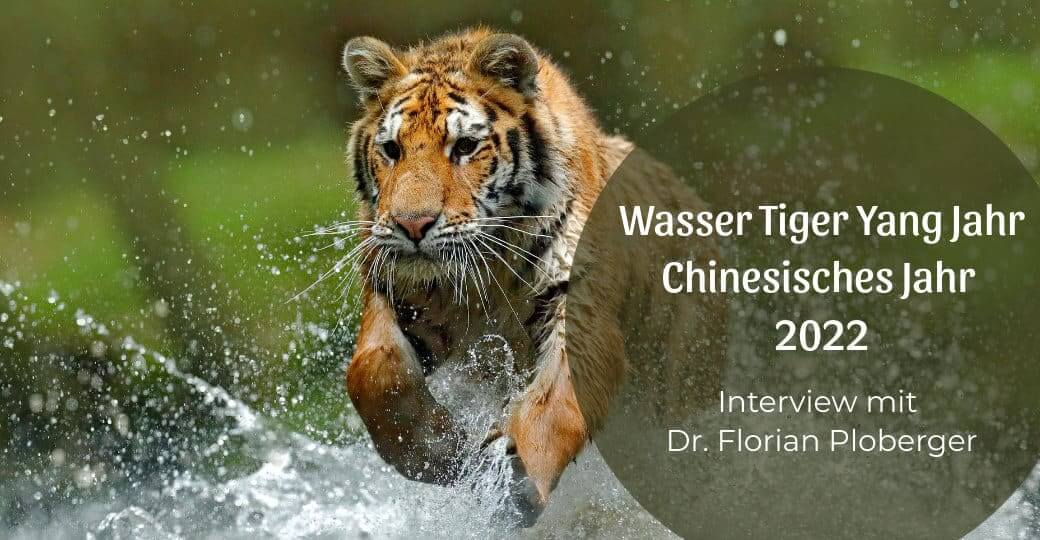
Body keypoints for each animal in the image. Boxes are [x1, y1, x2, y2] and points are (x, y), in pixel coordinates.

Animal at [339, 27, 724, 526]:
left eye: (464, 147)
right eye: (391, 150)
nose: (412, 225)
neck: (482, 276)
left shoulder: (578, 306)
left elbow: (552, 404)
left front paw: (514, 477)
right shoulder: (393, 290)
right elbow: (373, 372)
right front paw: (438, 450)